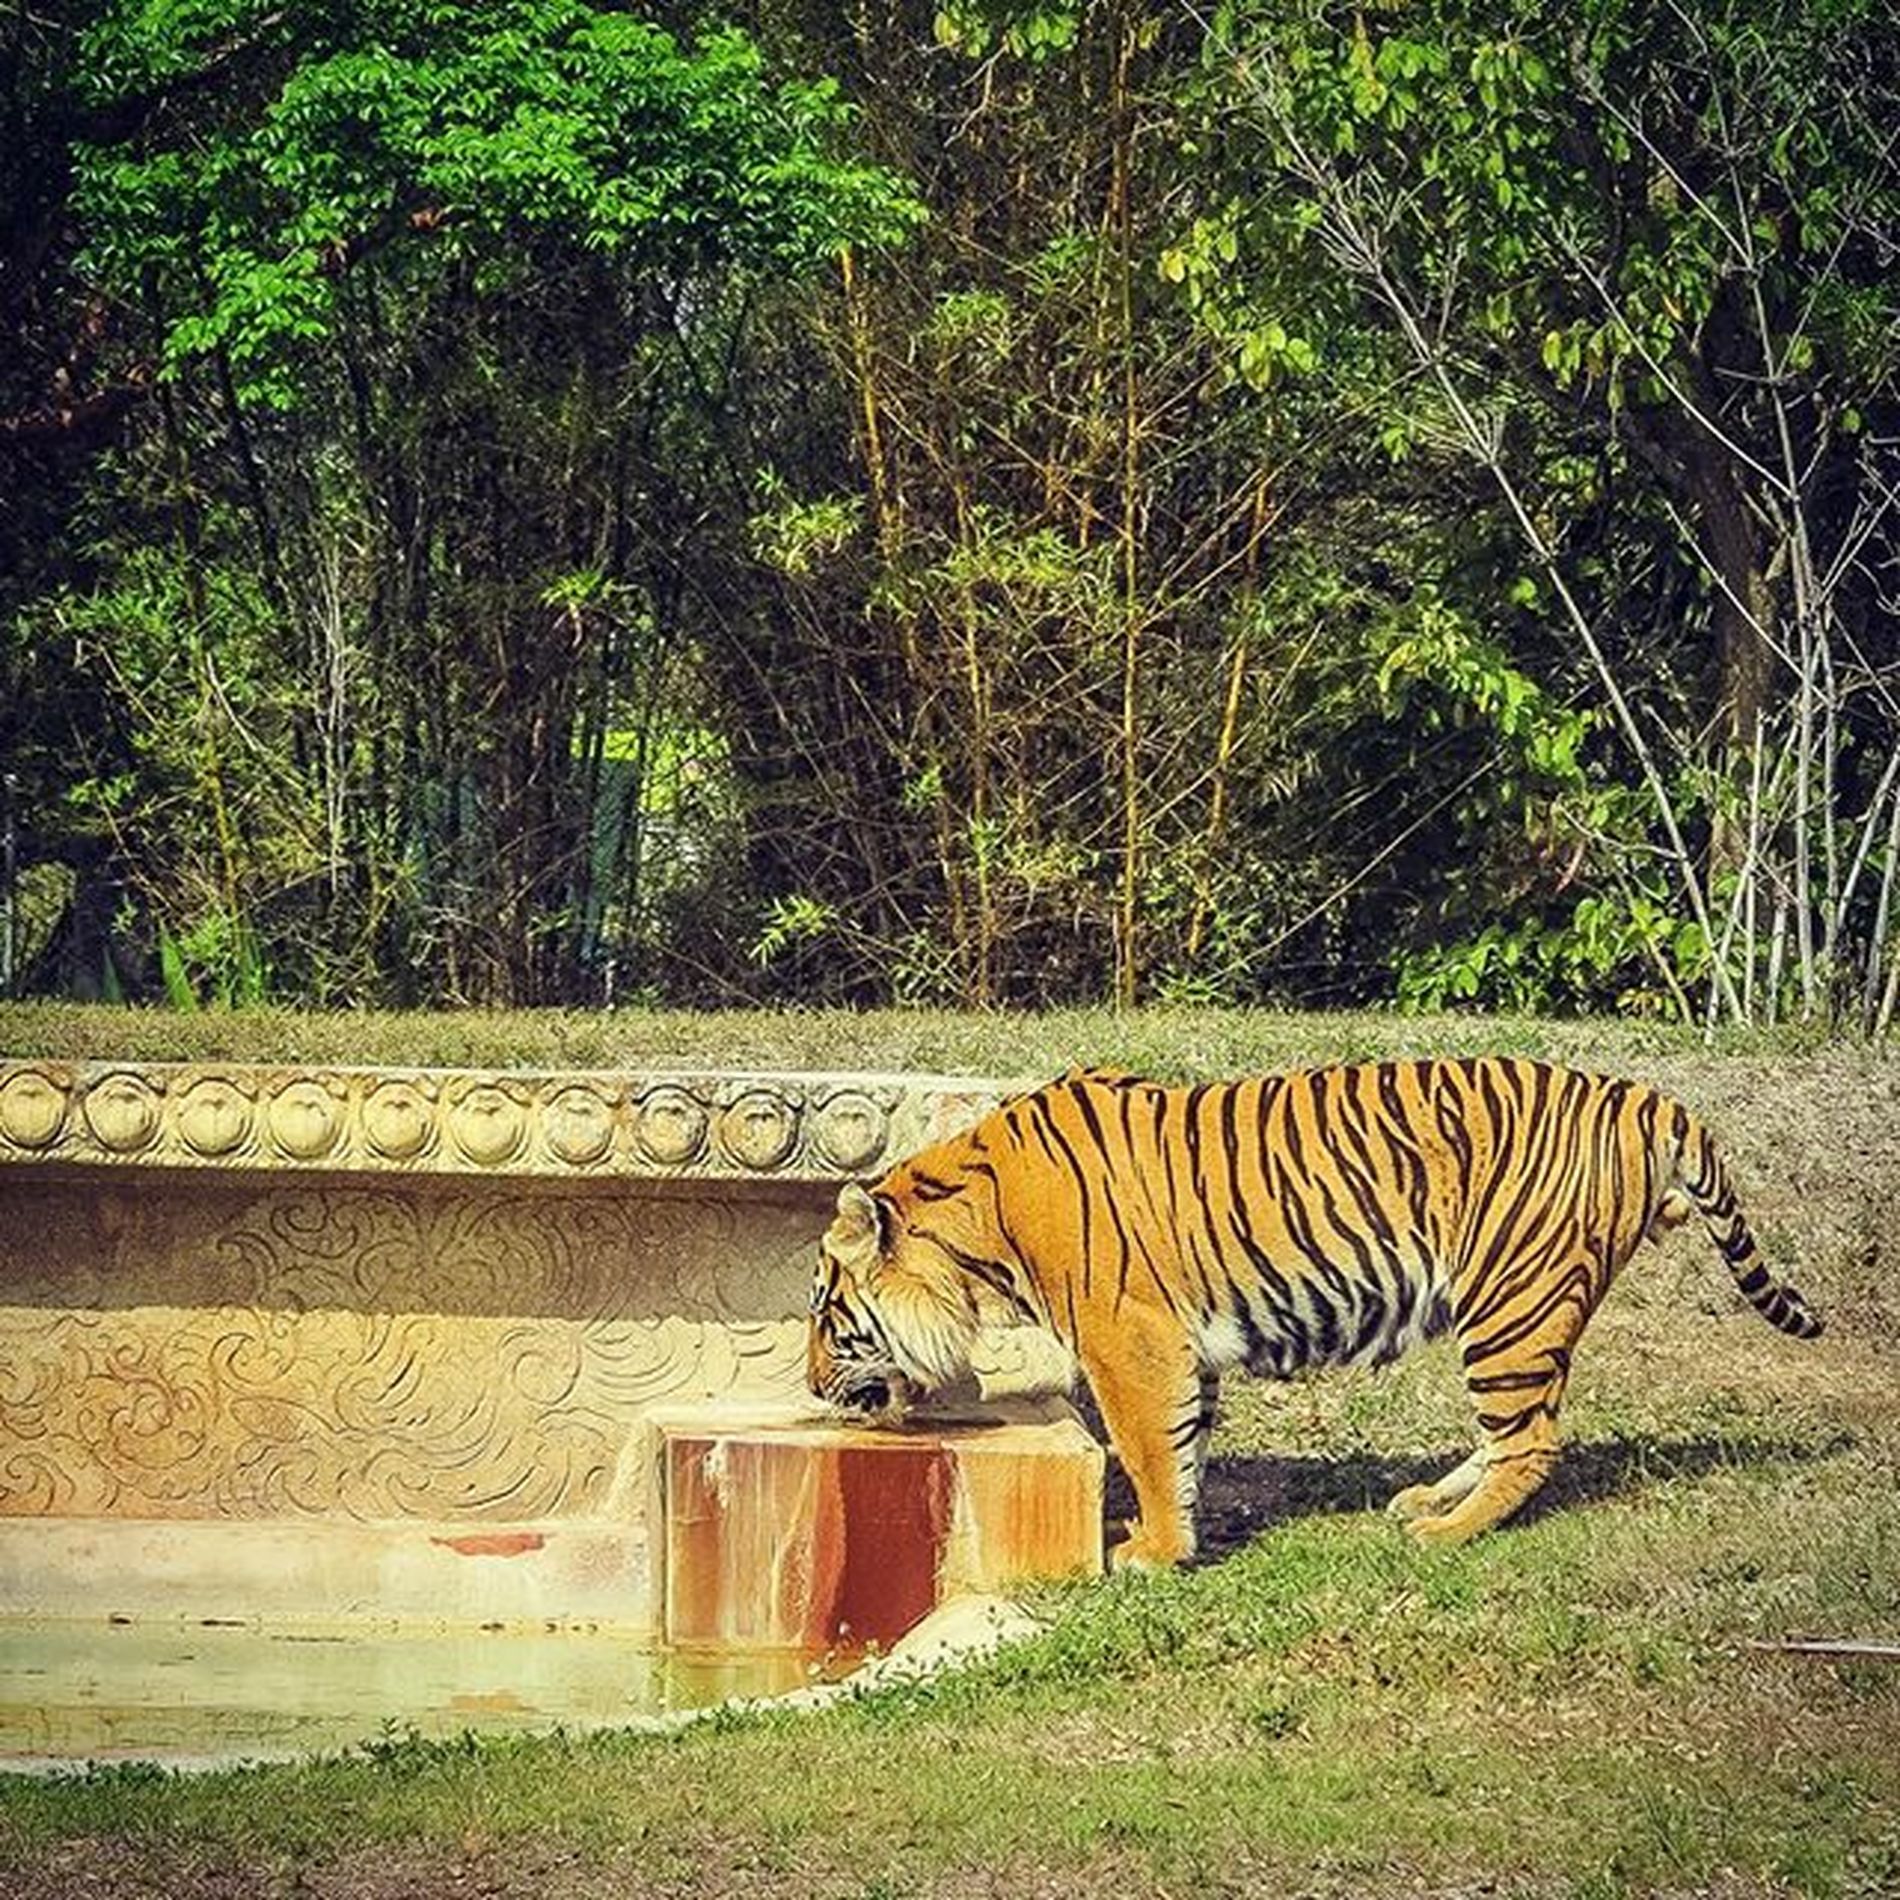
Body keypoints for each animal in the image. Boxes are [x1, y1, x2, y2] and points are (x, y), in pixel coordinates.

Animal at [798, 1056, 1808, 1558]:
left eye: (822, 1313)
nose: (807, 1383)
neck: (979, 1228)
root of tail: (1644, 1097)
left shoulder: (1129, 1342)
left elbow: (1148, 1449)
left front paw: (1151, 1552)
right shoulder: (1181, 1348)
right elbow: (1185, 1449)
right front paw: (1172, 1537)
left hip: (1511, 1301)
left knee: (1529, 1443)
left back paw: (1446, 1533)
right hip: (1517, 1311)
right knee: (1513, 1431)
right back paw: (1425, 1500)